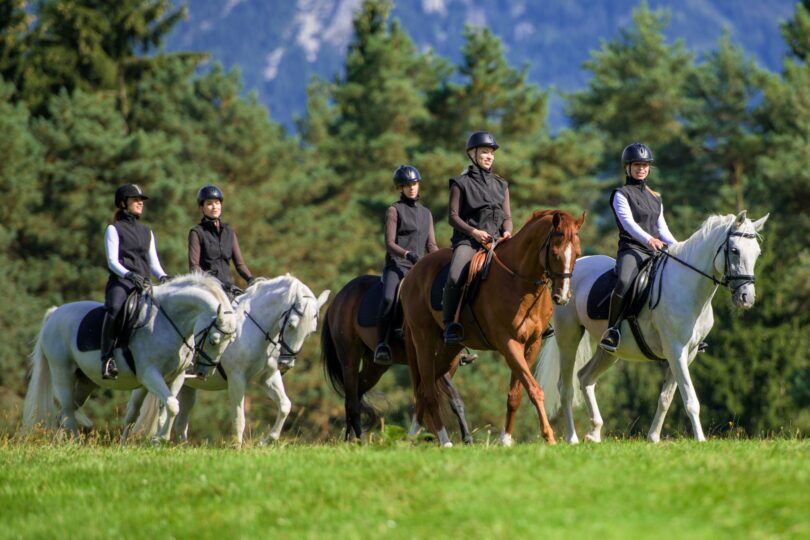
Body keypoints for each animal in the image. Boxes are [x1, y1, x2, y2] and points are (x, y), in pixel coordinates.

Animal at [22, 272, 235, 440]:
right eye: (214, 340)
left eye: (230, 342)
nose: (204, 373)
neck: (167, 322)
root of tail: (55, 313)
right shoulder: (149, 374)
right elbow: (172, 406)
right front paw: (160, 438)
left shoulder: (177, 377)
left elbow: (170, 407)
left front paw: (160, 438)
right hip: (62, 373)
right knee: (67, 411)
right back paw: (74, 442)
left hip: (85, 381)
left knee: (65, 414)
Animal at [127, 276, 328, 446]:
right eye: (292, 324)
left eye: (311, 331)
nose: (286, 364)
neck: (254, 328)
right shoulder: (237, 379)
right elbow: (239, 417)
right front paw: (237, 447)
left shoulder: (269, 376)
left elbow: (285, 406)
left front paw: (267, 440)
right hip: (147, 379)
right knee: (134, 410)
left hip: (186, 386)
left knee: (179, 421)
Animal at [322, 276, 474, 440]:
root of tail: (337, 299)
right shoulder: (429, 360)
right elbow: (442, 395)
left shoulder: (449, 363)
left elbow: (451, 399)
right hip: (349, 358)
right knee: (352, 400)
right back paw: (359, 440)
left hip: (375, 367)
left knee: (355, 394)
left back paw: (351, 438)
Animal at [402, 211, 580, 448]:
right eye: (555, 252)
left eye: (577, 254)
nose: (562, 296)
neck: (519, 281)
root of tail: (412, 274)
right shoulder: (508, 343)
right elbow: (534, 389)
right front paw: (549, 436)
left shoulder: (531, 344)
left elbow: (516, 393)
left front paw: (506, 440)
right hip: (424, 341)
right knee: (429, 390)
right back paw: (444, 440)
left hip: (450, 351)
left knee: (424, 388)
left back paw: (412, 436)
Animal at [532, 211, 768, 442]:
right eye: (735, 250)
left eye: (757, 253)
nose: (746, 298)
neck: (687, 286)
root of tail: (573, 268)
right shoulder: (676, 351)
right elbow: (690, 399)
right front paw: (700, 440)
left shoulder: (689, 353)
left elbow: (665, 398)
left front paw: (653, 438)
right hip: (568, 337)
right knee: (566, 388)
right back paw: (573, 438)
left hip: (609, 351)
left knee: (585, 377)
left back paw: (595, 434)